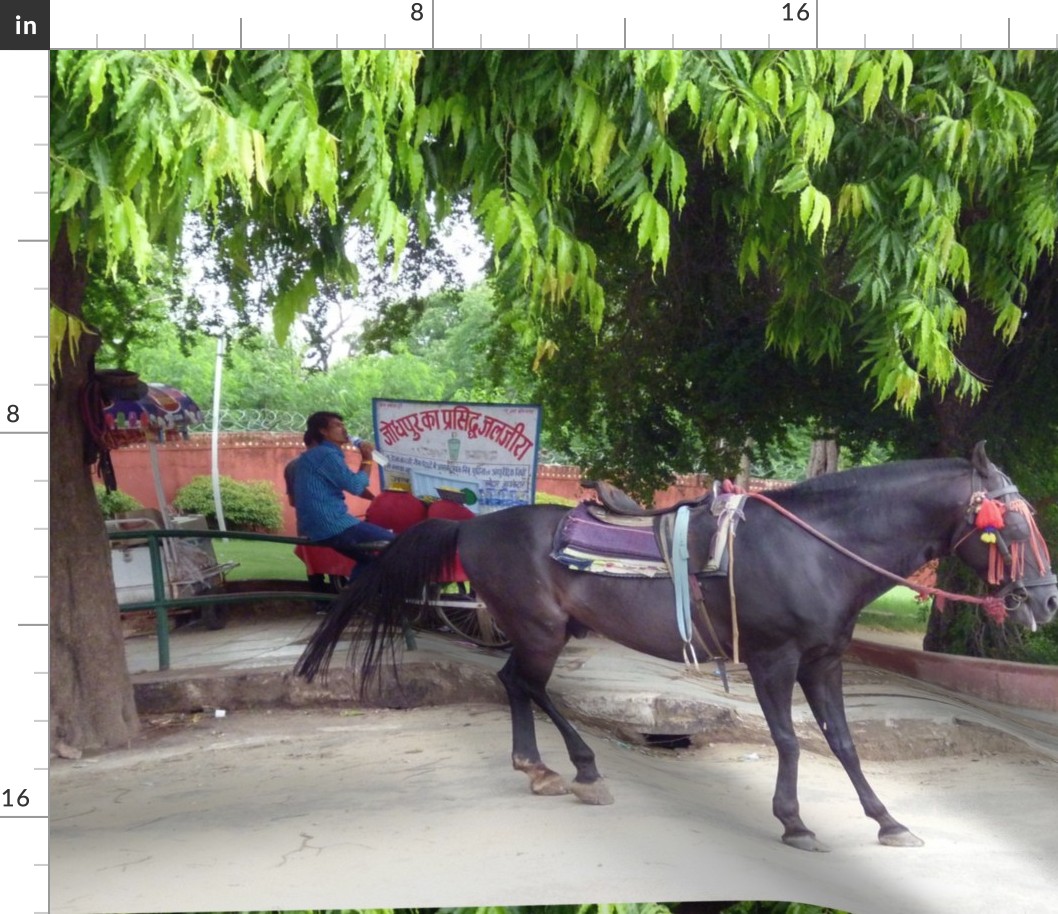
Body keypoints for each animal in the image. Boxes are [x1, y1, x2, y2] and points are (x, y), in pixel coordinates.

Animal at [298, 442, 1058, 850]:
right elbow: (788, 740)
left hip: (546, 631)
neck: (817, 551)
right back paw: (575, 768)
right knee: (525, 683)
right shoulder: (773, 659)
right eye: (1016, 527)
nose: (1048, 601)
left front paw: (887, 820)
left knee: (517, 684)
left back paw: (545, 767)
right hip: (540, 630)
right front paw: (793, 822)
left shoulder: (824, 660)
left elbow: (842, 742)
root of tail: (469, 526)